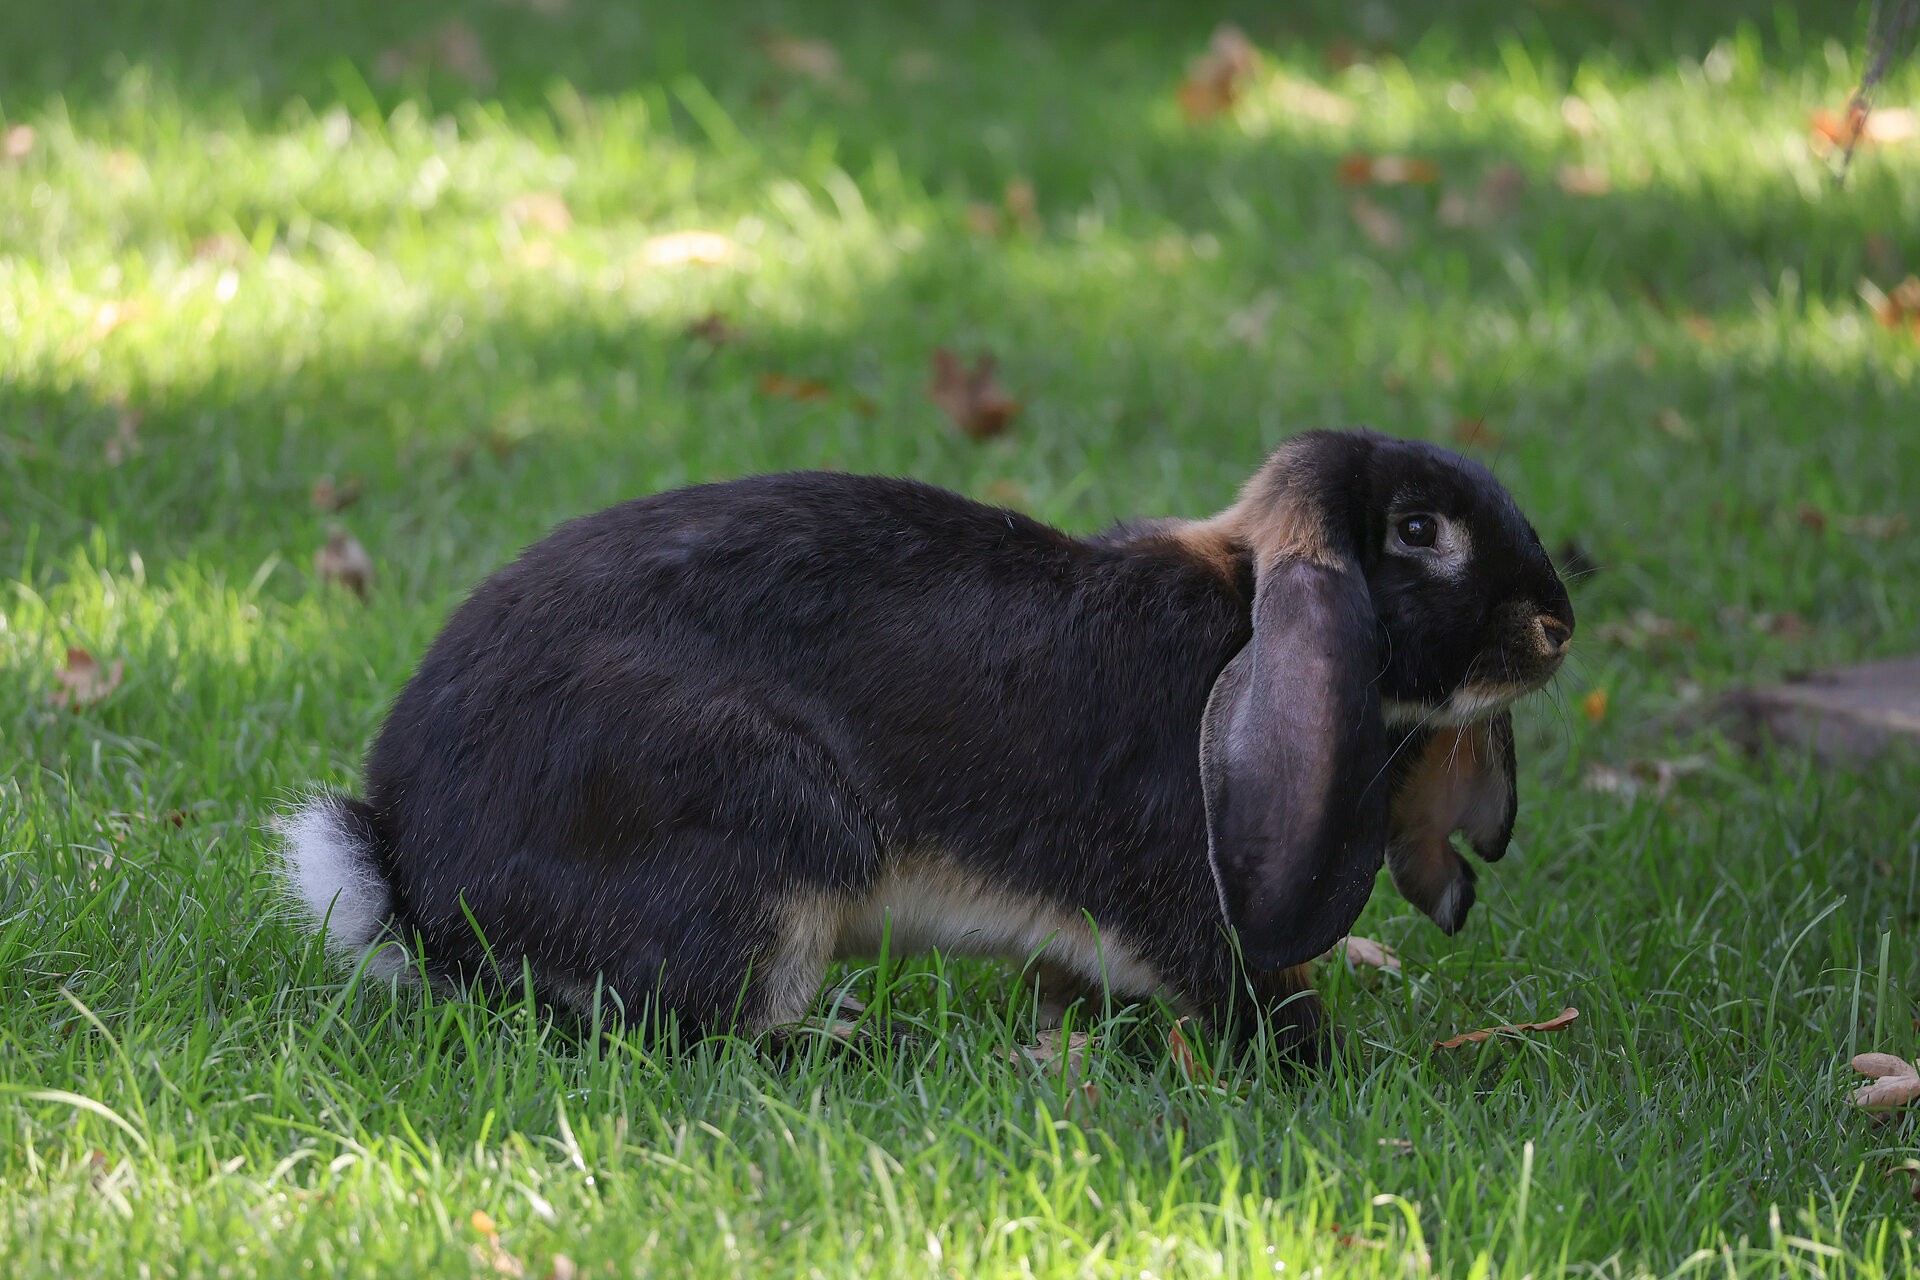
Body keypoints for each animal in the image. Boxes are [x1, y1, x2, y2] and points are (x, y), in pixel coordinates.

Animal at [281, 429, 1573, 1058]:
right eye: (1420, 531)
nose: (1556, 623)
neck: (1236, 611)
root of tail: (418, 878)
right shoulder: (1189, 892)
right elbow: (1249, 985)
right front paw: (1329, 1063)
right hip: (763, 836)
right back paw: (840, 1041)